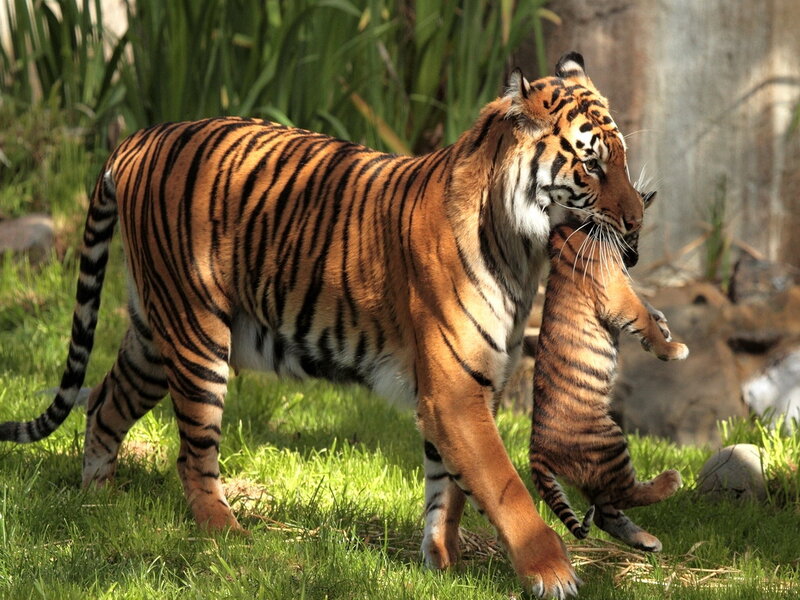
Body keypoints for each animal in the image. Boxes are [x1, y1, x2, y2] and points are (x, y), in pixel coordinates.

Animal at [1, 52, 648, 598]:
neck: (522, 250)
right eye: (592, 164)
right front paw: (552, 573)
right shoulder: (455, 389)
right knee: (192, 454)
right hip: (197, 334)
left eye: (620, 160)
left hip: (156, 334)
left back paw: (97, 502)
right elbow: (503, 484)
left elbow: (449, 488)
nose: (638, 220)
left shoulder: (469, 385)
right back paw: (226, 535)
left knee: (103, 401)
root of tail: (139, 136)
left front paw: (441, 565)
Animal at [529, 190, 688, 553]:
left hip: (597, 470)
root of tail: (536, 451)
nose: (635, 260)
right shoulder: (617, 296)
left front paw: (664, 323)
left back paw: (647, 541)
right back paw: (670, 481)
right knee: (624, 494)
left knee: (605, 513)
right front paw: (672, 349)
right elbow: (643, 320)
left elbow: (648, 309)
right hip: (608, 442)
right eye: (635, 230)